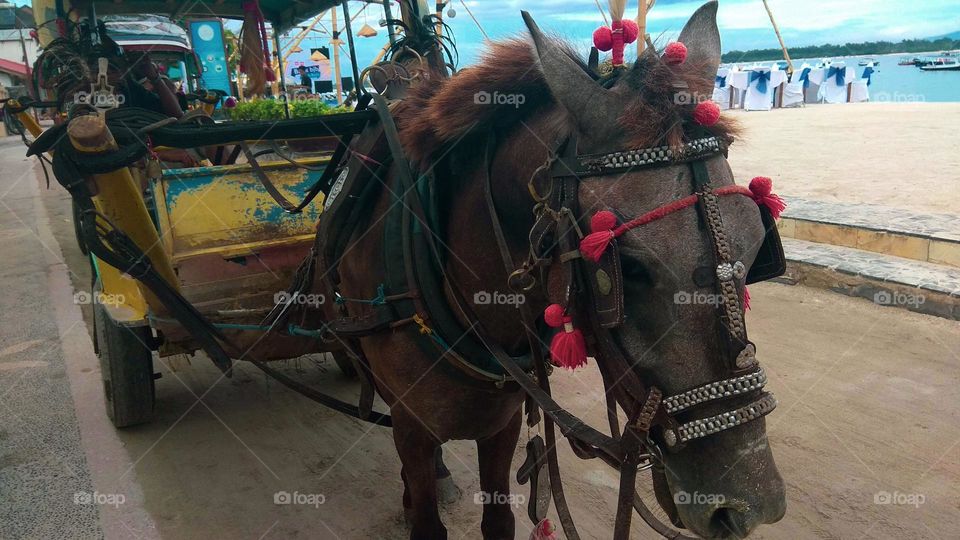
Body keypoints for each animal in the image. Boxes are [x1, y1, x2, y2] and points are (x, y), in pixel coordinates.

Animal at [318, 2, 784, 536]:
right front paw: (419, 494)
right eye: (628, 268)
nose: (750, 505)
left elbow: (499, 520)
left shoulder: (502, 422)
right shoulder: (410, 423)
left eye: (757, 247)